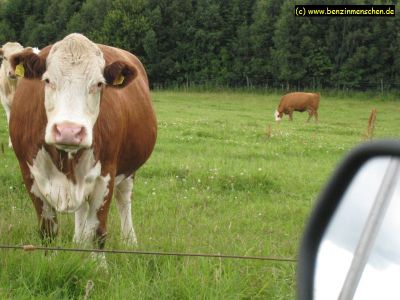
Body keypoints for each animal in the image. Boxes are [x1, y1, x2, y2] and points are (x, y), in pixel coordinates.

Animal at [9, 32, 156, 248]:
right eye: (47, 80)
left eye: (99, 84)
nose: (69, 131)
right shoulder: (30, 175)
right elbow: (48, 232)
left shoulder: (106, 177)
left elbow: (97, 233)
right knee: (82, 210)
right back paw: (78, 240)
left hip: (128, 169)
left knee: (124, 199)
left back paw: (130, 241)